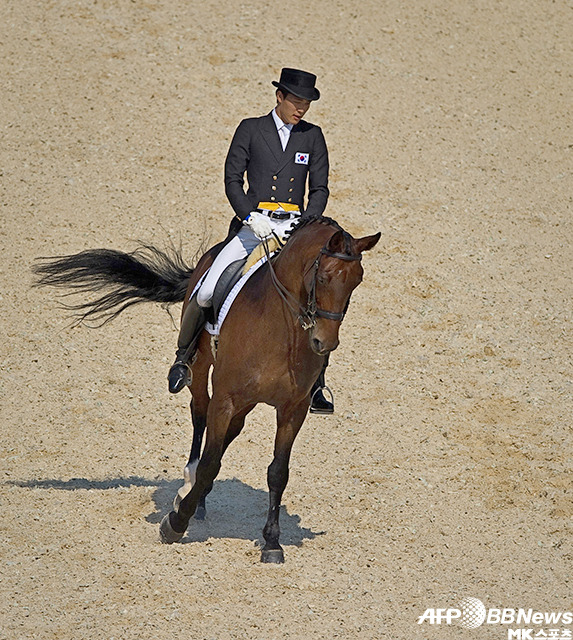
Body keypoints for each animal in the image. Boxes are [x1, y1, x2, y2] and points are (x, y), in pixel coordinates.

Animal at [32, 215, 380, 560]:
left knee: (228, 432)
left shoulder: (293, 409)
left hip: (246, 402)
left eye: (357, 281)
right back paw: (188, 484)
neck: (283, 329)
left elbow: (278, 472)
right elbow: (211, 461)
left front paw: (272, 542)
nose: (324, 343)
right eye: (323, 276)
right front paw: (175, 522)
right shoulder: (225, 399)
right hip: (201, 371)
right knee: (200, 415)